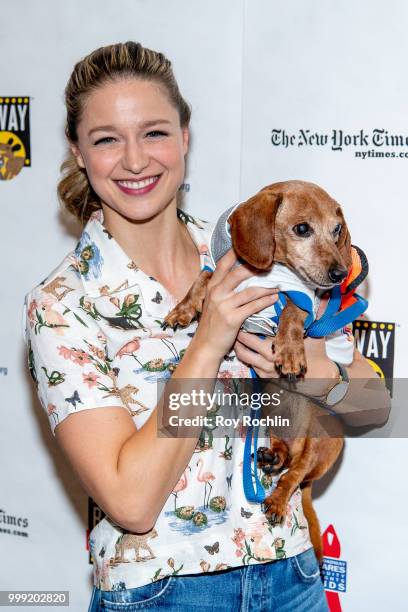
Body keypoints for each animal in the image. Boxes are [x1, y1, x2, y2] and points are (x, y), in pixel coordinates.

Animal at [165, 180, 350, 560]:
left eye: (337, 229)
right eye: (302, 229)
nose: (340, 274)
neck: (268, 272)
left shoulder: (300, 298)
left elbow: (292, 309)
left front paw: (291, 351)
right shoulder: (222, 274)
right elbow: (204, 276)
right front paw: (184, 309)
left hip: (321, 433)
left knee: (295, 473)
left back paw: (277, 499)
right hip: (269, 413)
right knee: (286, 455)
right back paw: (271, 456)